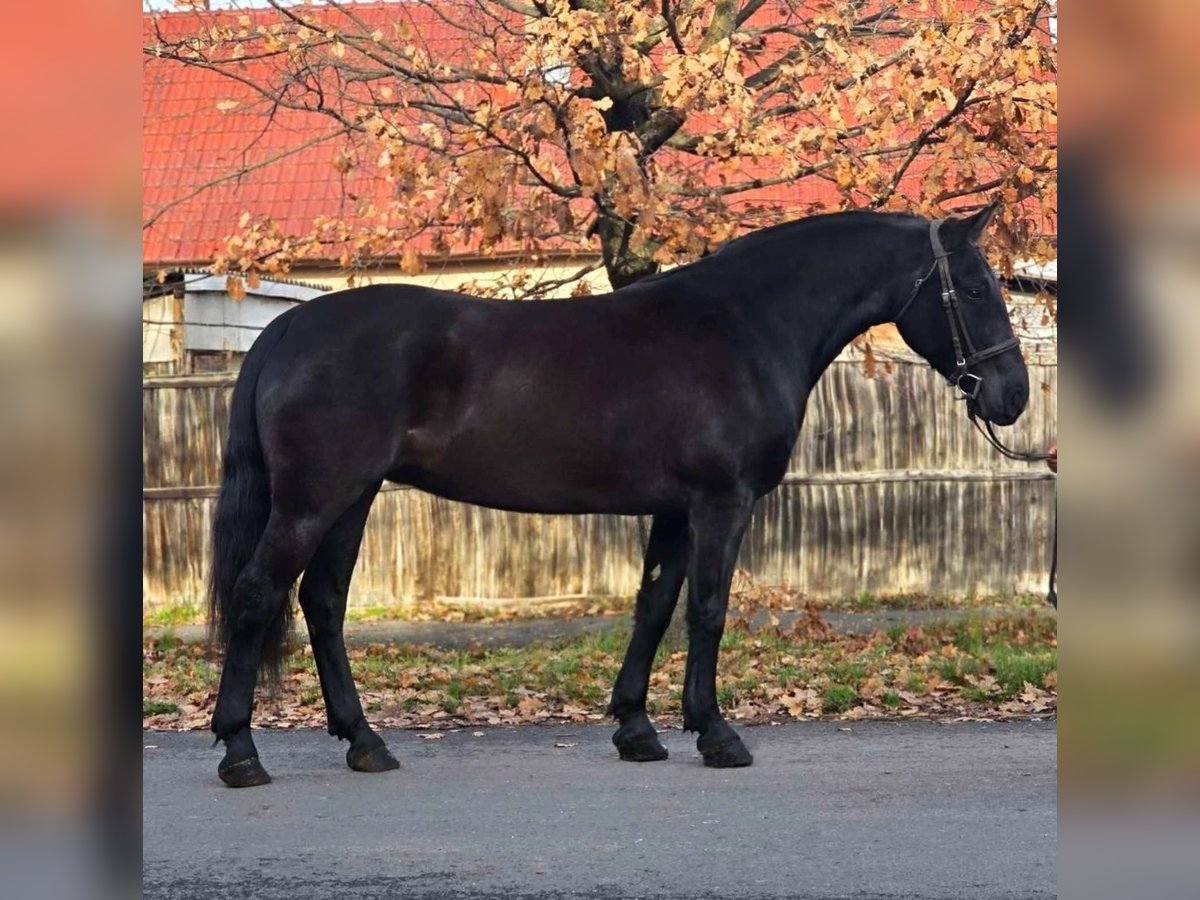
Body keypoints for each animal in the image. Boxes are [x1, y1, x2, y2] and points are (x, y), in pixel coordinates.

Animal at [208, 202, 1030, 787]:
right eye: (978, 286)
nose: (1014, 395)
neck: (746, 324)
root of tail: (286, 329)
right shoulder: (722, 502)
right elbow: (707, 609)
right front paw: (716, 734)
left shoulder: (674, 508)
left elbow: (654, 606)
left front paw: (637, 730)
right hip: (314, 502)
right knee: (256, 596)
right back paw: (241, 752)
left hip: (351, 500)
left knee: (322, 605)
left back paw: (365, 742)